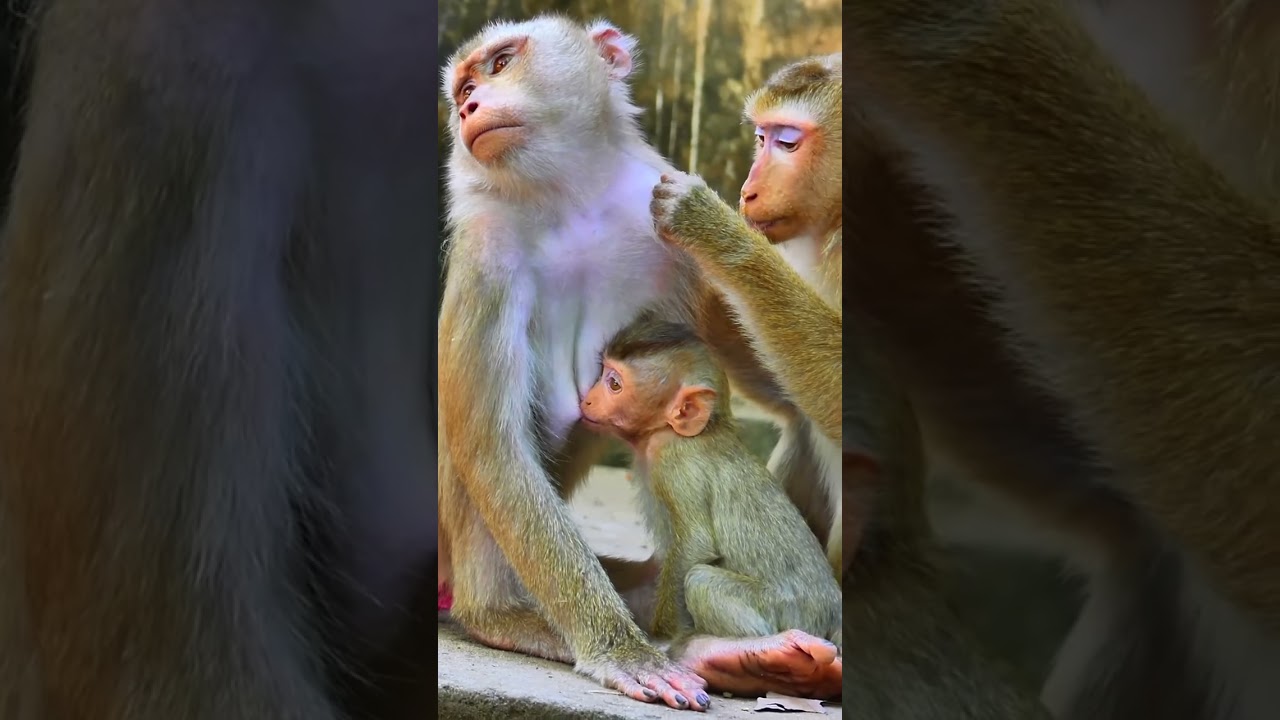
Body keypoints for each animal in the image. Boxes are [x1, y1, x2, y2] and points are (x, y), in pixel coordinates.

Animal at [577, 313, 842, 659]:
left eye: (614, 384)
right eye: (603, 374)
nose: (587, 399)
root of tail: (833, 611)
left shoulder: (674, 461)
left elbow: (695, 543)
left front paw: (662, 636)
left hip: (784, 610)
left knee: (701, 579)